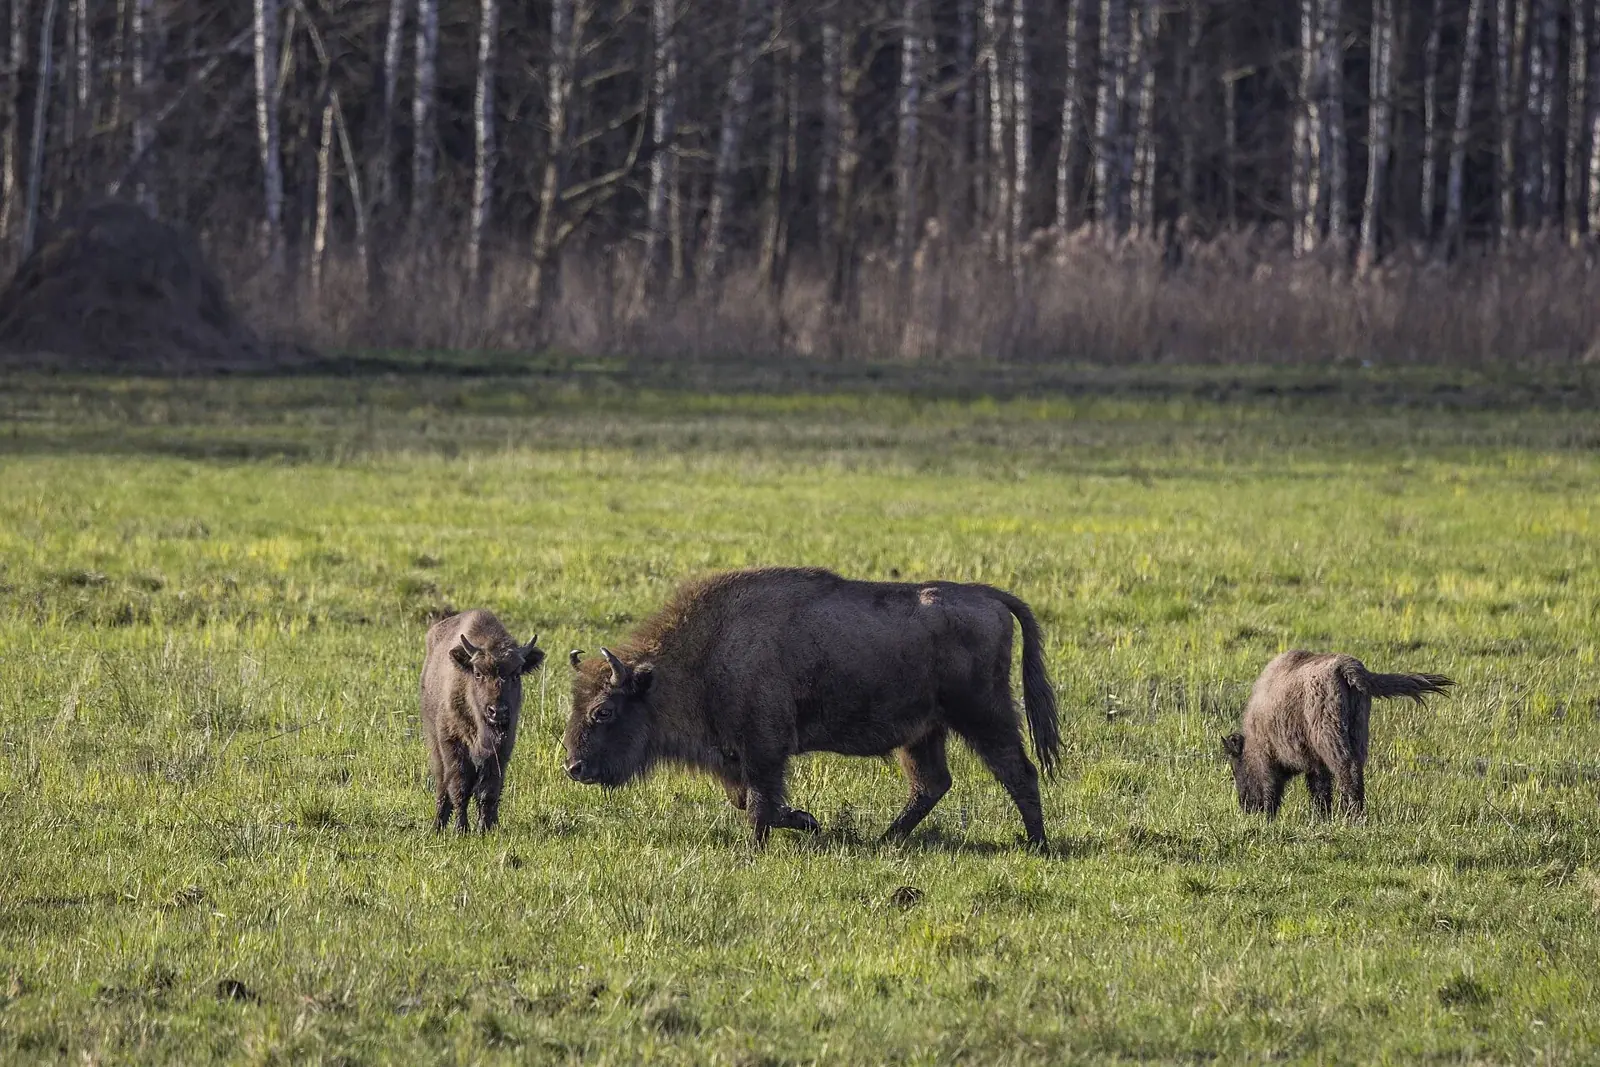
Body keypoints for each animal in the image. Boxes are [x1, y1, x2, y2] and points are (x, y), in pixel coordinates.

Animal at [563, 567, 1061, 849]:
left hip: (982, 715)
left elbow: (759, 804)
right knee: (932, 784)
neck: (706, 653)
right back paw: (886, 841)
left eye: (603, 711)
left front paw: (758, 848)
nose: (573, 767)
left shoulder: (763, 749)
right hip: (923, 733)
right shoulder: (736, 757)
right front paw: (808, 821)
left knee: (1018, 771)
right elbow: (749, 800)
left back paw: (1037, 843)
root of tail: (988, 596)